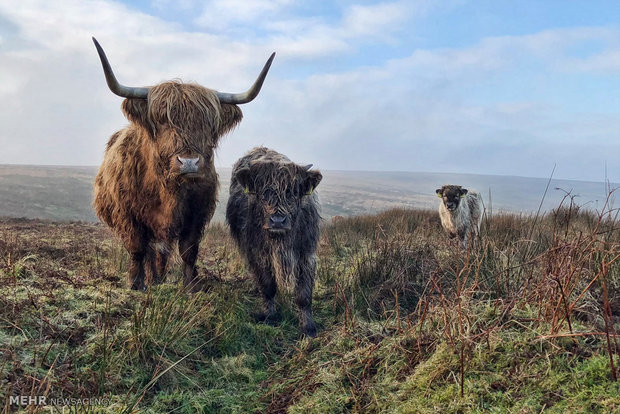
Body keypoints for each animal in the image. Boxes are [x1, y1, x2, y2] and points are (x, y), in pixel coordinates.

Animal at [91, 38, 274, 292]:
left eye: (209, 124)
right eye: (162, 120)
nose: (189, 162)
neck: (166, 189)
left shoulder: (197, 213)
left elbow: (188, 250)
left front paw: (190, 286)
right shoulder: (127, 213)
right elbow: (137, 247)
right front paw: (136, 284)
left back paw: (158, 278)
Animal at [228, 147, 324, 338]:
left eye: (292, 192)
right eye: (263, 193)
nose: (278, 221)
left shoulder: (306, 254)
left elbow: (304, 294)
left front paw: (308, 327)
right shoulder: (258, 253)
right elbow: (268, 286)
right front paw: (269, 315)